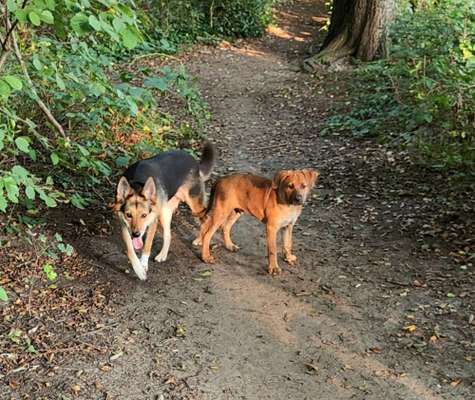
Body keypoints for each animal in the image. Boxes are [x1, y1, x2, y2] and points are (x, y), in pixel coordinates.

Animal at [112, 142, 217, 280]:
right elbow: (130, 250)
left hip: (193, 205)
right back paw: (163, 255)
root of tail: (195, 162)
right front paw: (139, 270)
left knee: (207, 219)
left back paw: (202, 244)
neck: (136, 184)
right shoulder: (124, 226)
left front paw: (143, 264)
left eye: (144, 215)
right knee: (168, 234)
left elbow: (147, 245)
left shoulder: (152, 222)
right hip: (165, 212)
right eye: (128, 215)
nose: (136, 234)